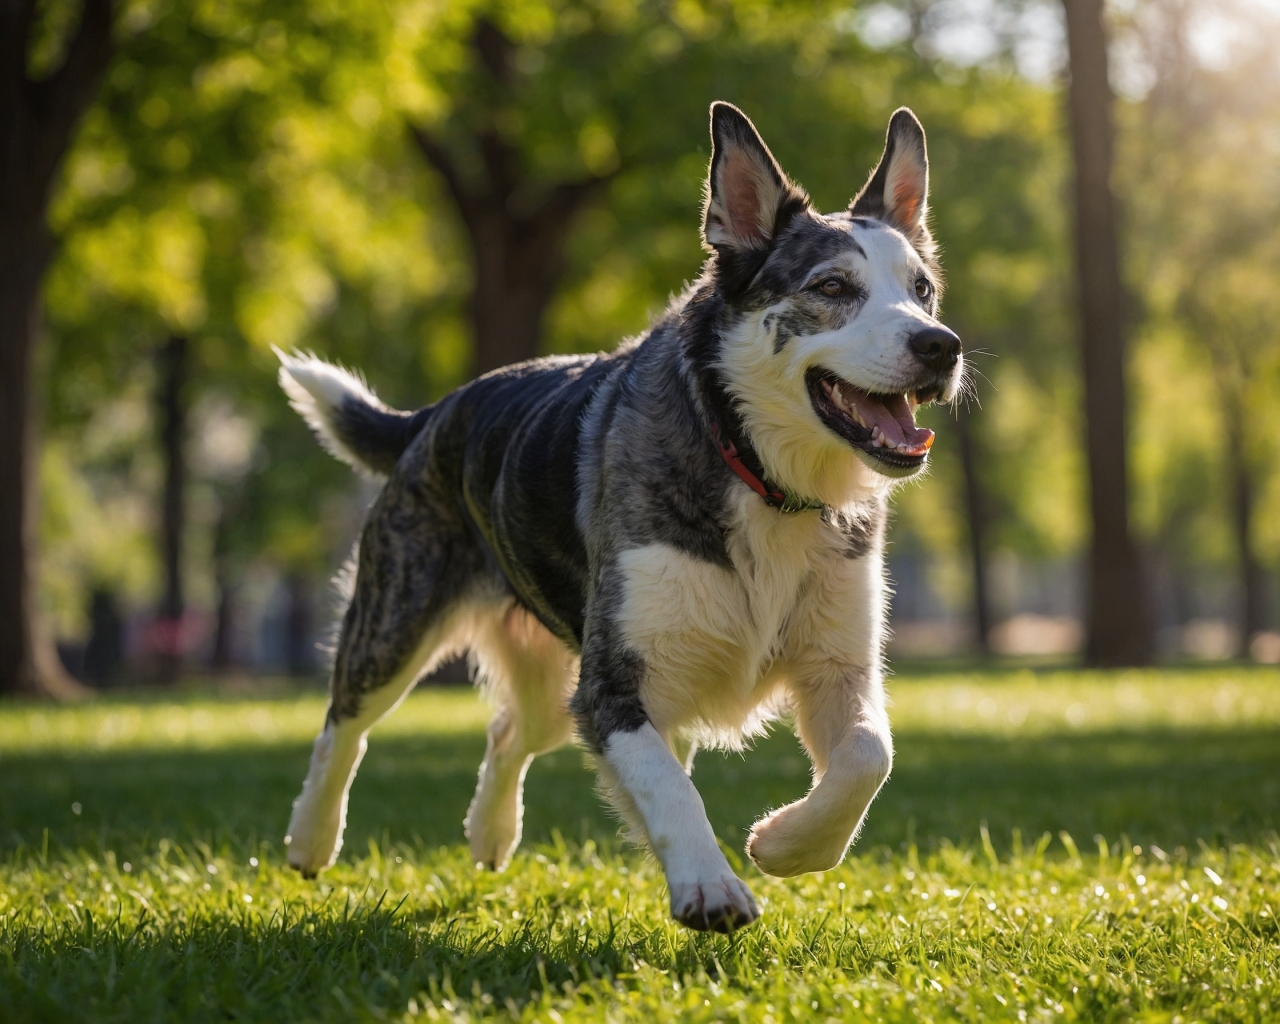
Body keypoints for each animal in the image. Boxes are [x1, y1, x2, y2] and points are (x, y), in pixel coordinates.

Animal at [277, 101, 962, 926]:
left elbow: (868, 758)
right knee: (343, 725)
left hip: (546, 676)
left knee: (510, 729)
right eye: (832, 285)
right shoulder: (612, 686)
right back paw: (310, 840)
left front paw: (783, 844)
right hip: (398, 617)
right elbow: (668, 785)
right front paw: (710, 884)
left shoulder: (839, 665)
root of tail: (434, 415)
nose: (942, 346)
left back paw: (490, 834)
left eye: (922, 289)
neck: (757, 470)